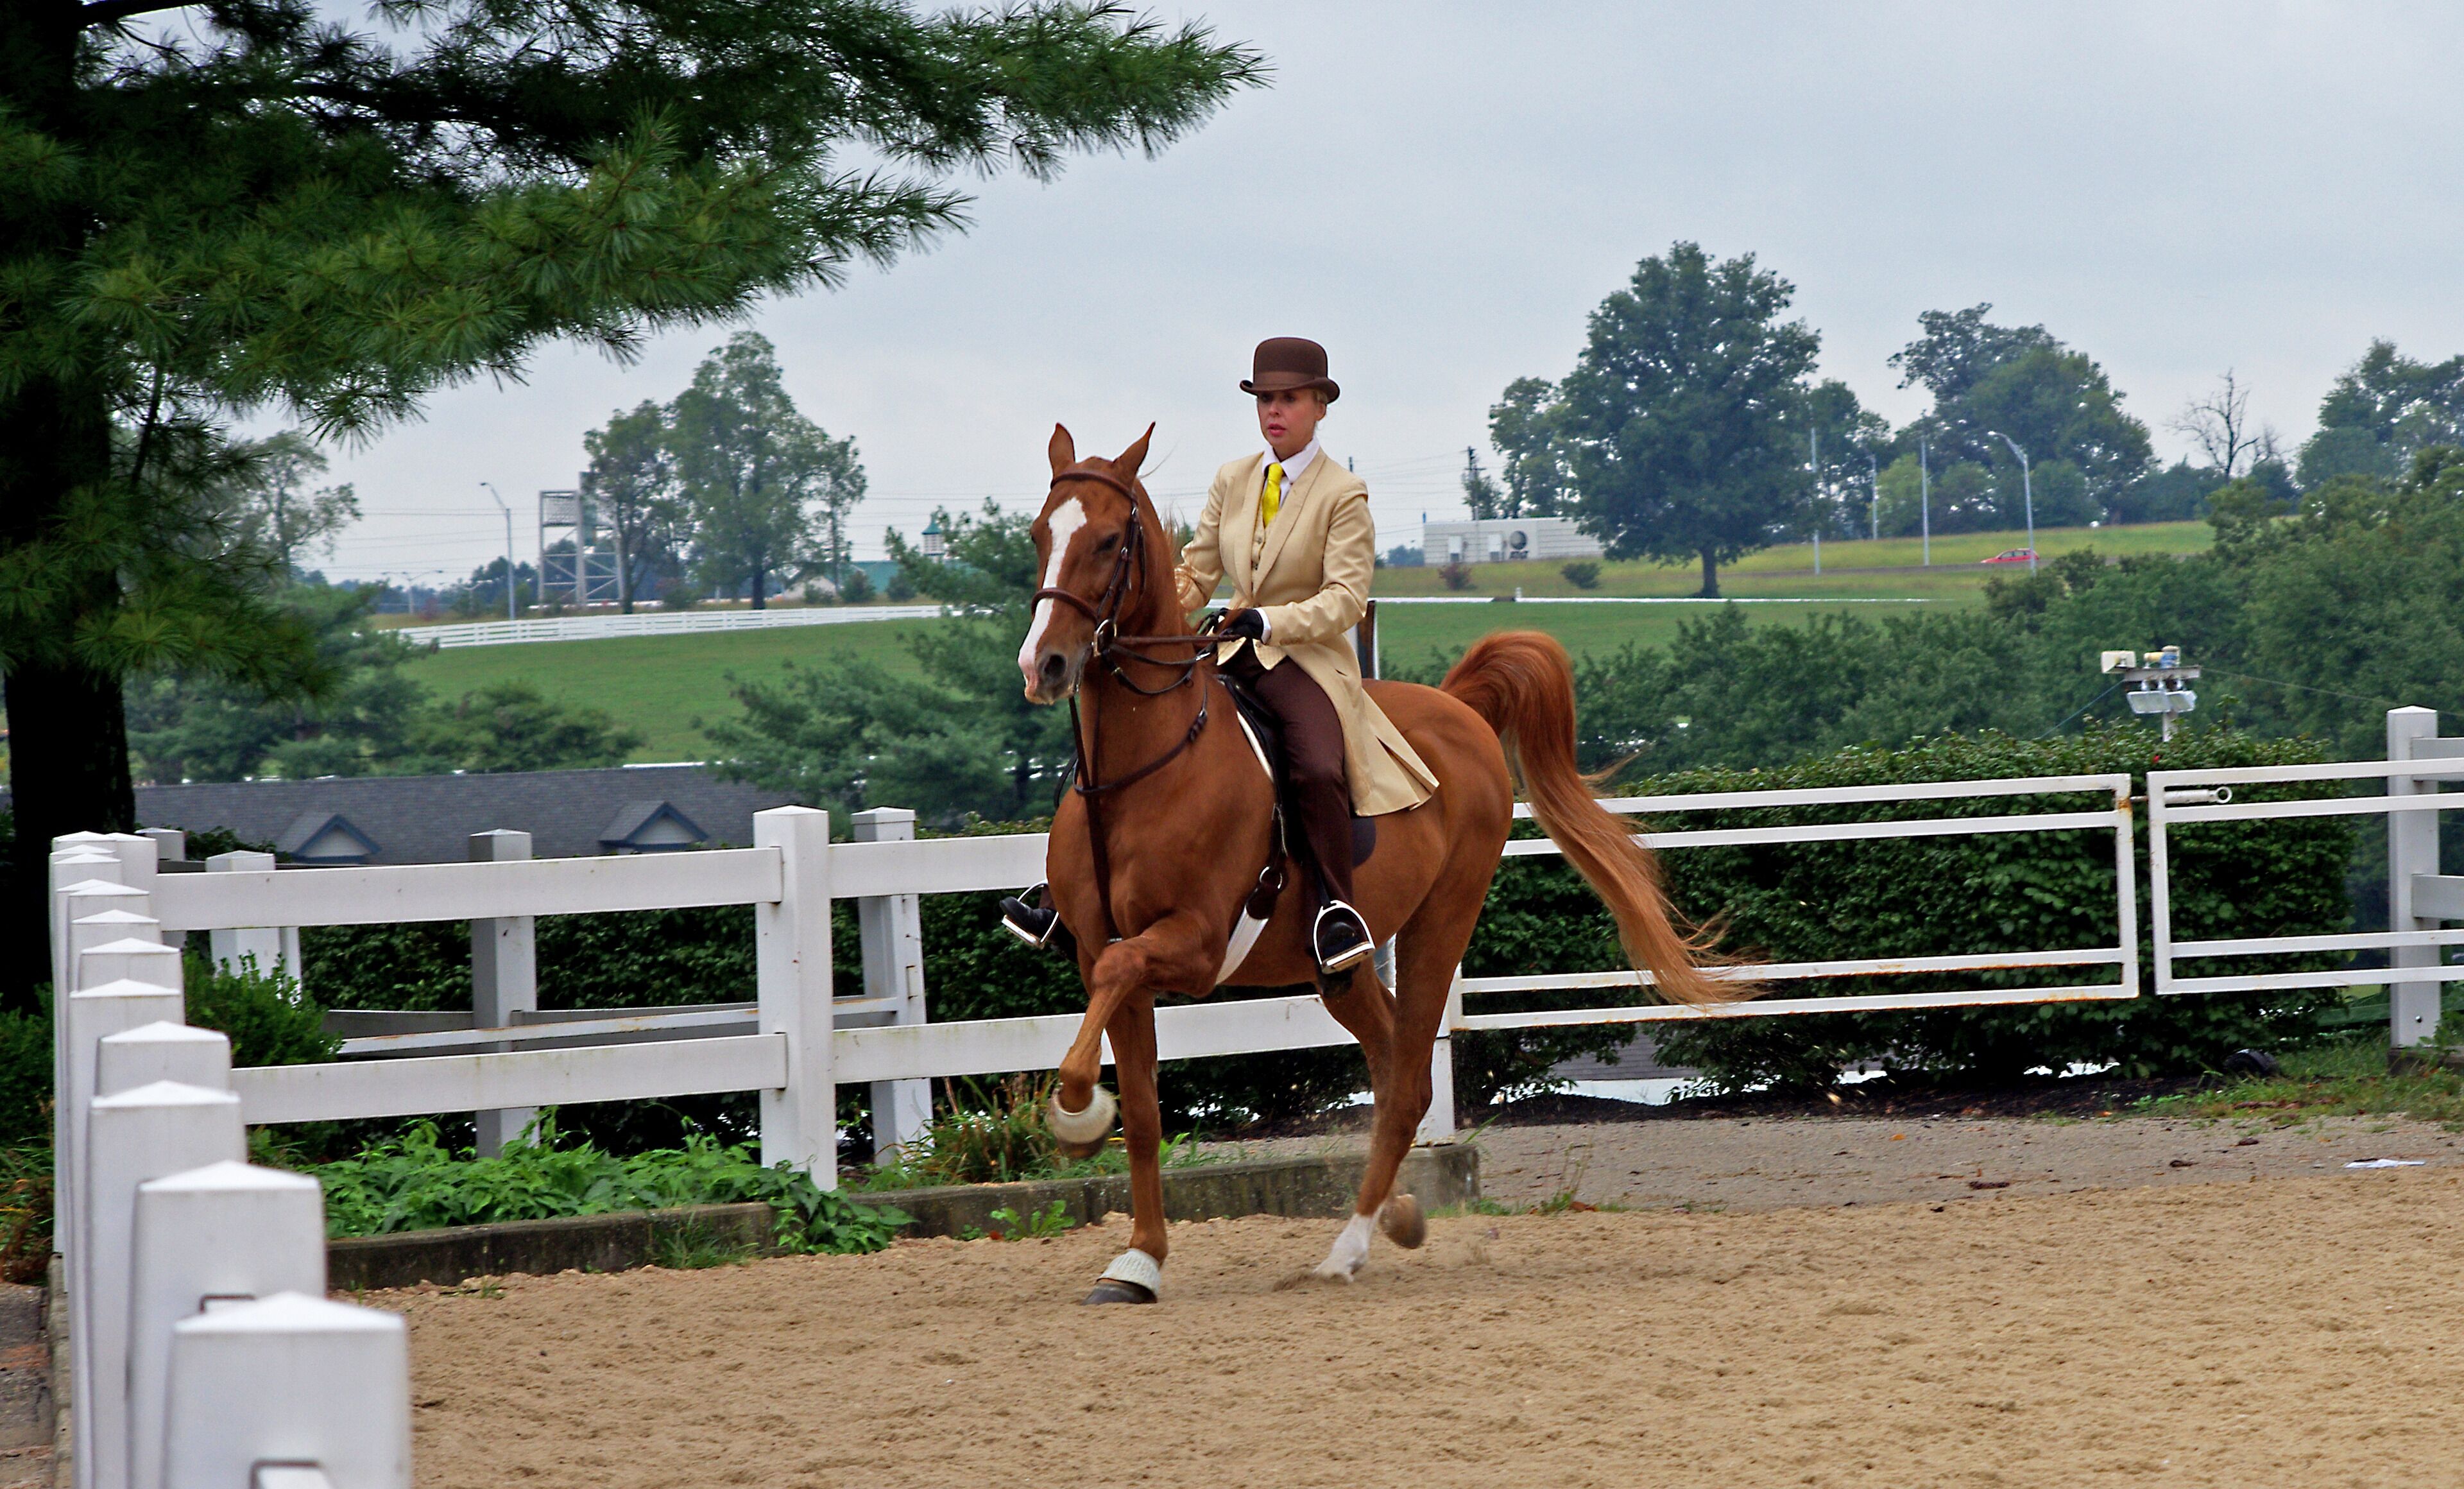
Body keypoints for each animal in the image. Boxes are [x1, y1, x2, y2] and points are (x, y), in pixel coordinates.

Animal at [1018, 424, 1740, 1302]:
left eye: (1107, 541)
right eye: (1040, 534)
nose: (1045, 666)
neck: (1142, 772)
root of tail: (1460, 706)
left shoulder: (1190, 942)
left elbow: (1124, 983)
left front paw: (1077, 1114)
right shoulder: (1096, 945)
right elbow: (1149, 1110)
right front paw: (1138, 1262)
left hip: (1442, 921)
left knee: (1408, 1084)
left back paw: (1349, 1246)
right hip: (1342, 966)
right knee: (1398, 1059)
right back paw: (1393, 1211)